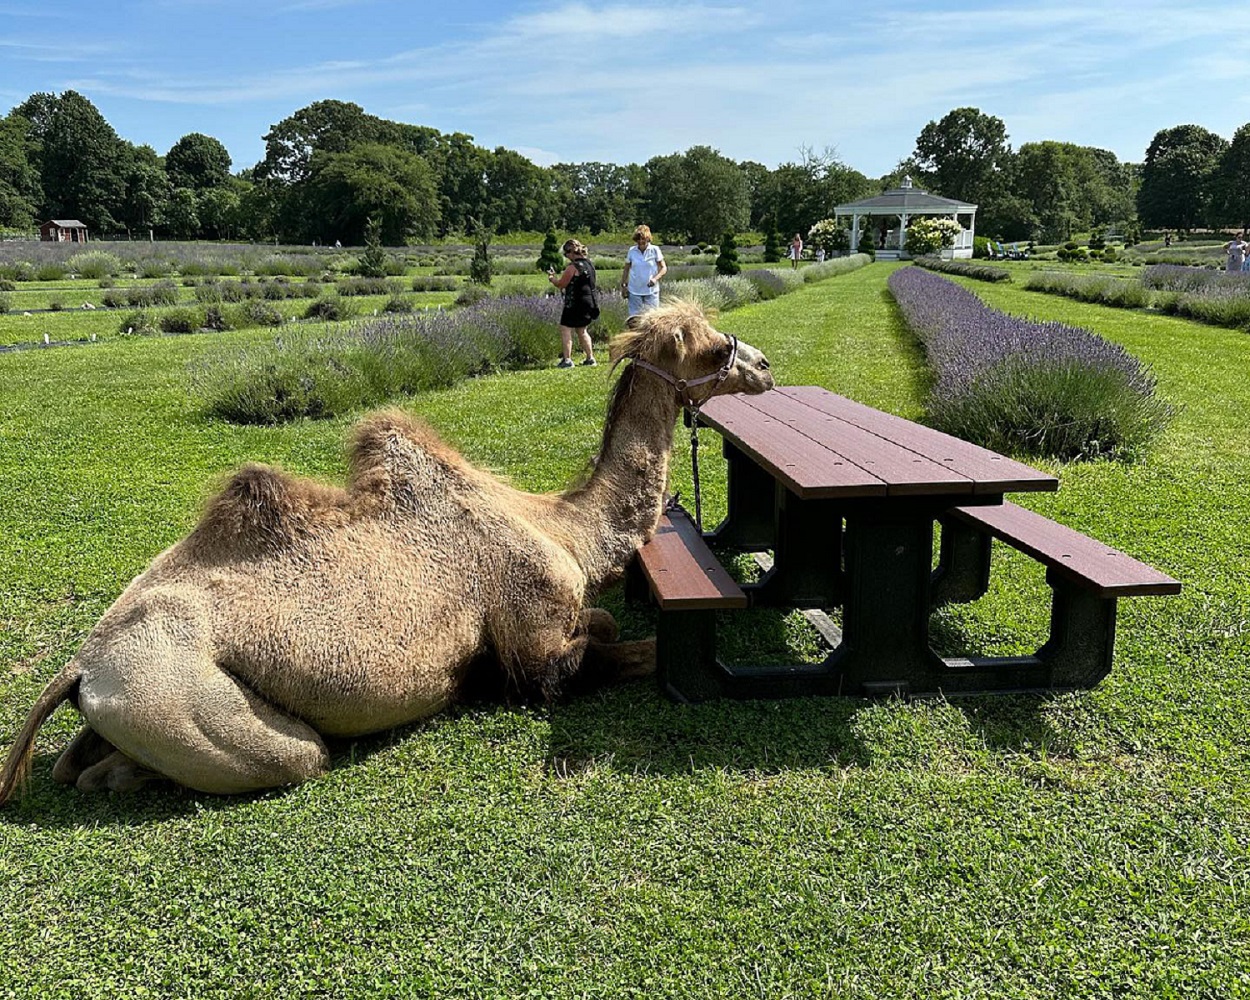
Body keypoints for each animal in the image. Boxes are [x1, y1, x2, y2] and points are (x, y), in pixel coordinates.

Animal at [0, 301, 770, 800]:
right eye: (707, 347)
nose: (762, 364)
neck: (563, 530)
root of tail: (80, 666)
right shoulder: (538, 646)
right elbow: (613, 652)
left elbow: (606, 623)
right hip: (180, 700)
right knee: (288, 756)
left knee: (71, 765)